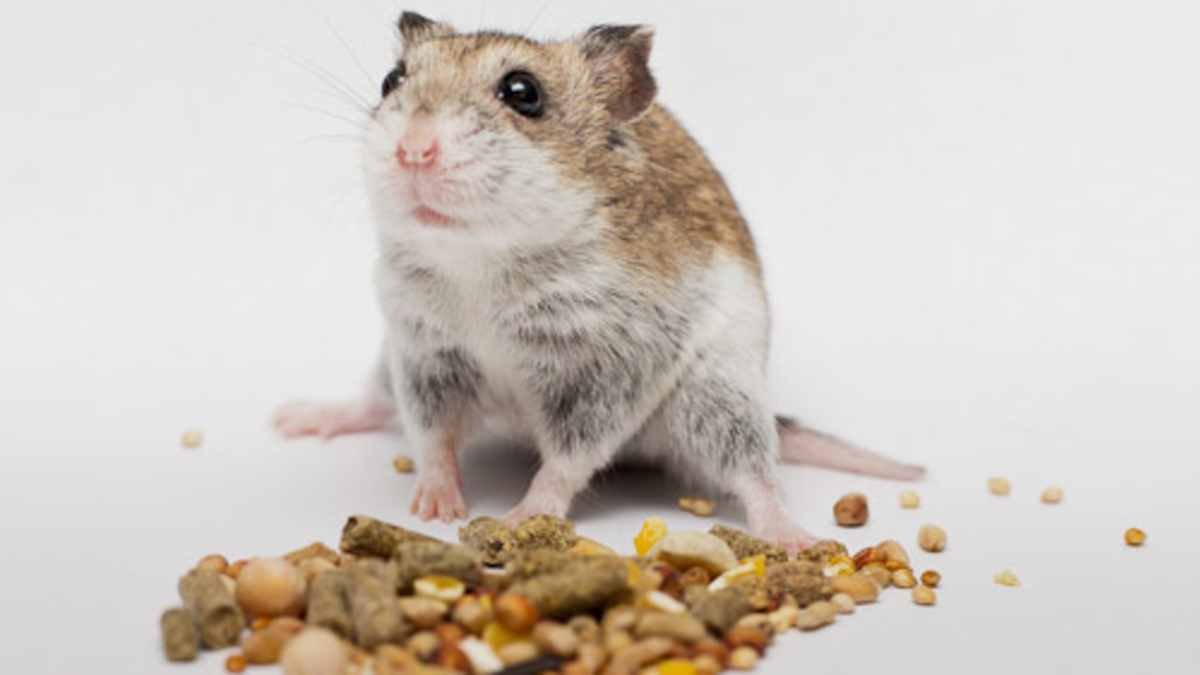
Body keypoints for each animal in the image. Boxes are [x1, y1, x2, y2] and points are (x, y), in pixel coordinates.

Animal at [273, 11, 924, 550]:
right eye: (391, 80)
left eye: (523, 93)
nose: (413, 151)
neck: (482, 262)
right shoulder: (423, 352)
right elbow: (431, 436)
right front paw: (436, 507)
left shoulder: (605, 372)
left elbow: (566, 459)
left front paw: (521, 516)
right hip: (388, 362)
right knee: (375, 403)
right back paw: (303, 418)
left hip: (717, 396)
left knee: (755, 473)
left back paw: (792, 539)